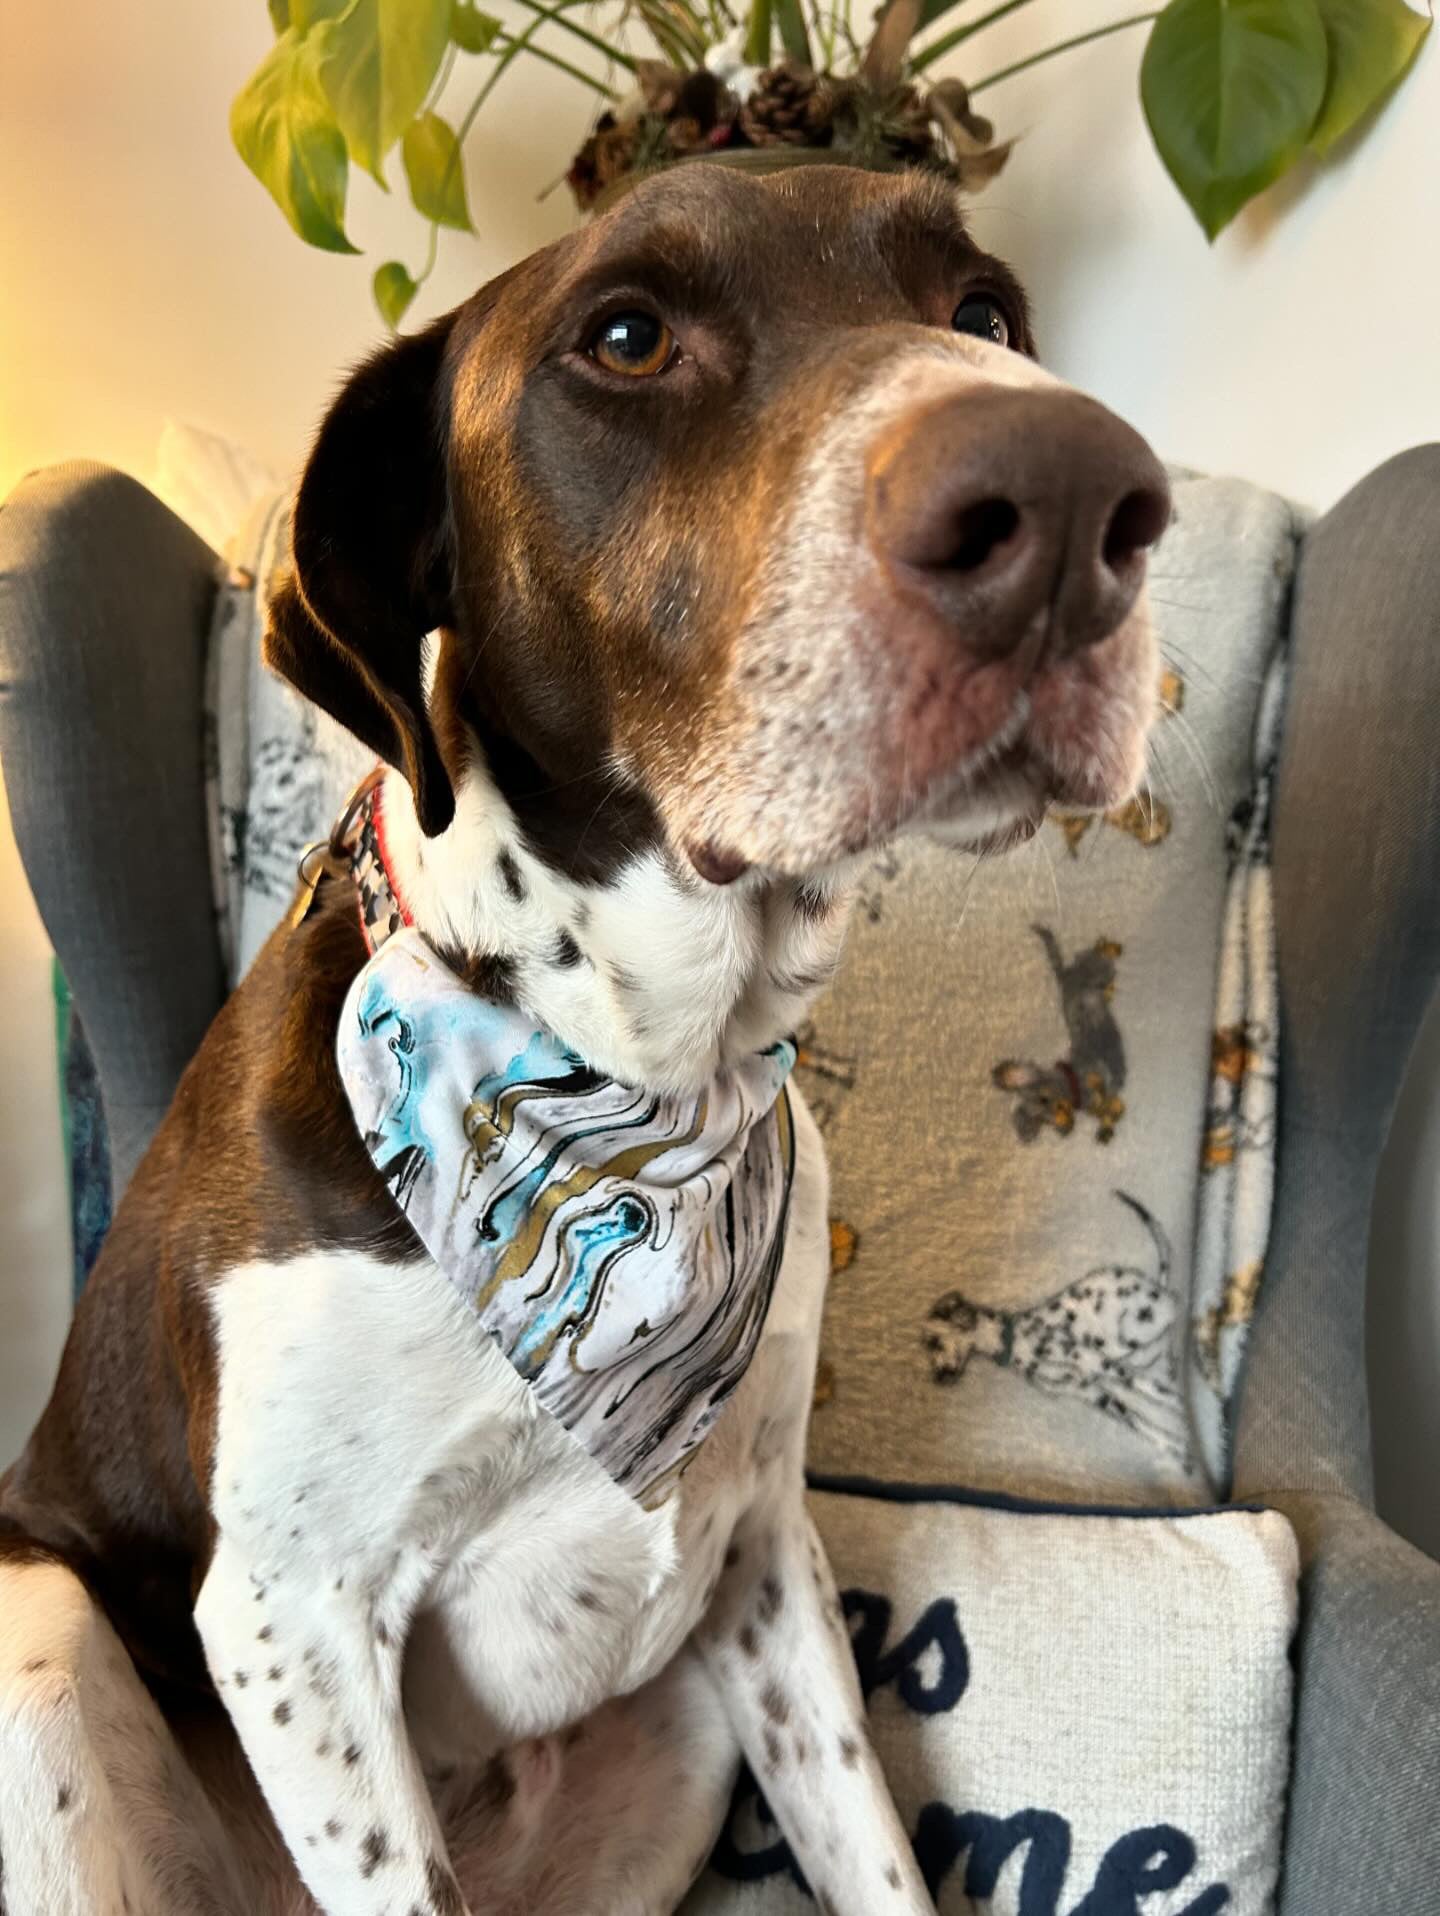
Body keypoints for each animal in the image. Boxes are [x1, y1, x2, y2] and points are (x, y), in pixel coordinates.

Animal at [0, 164, 1171, 1916]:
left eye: (983, 312)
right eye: (625, 338)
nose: (1084, 497)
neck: (635, 1075)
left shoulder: (759, 1546)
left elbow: (874, 1854)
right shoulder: (288, 1621)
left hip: (677, 1733)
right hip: (39, 1631)